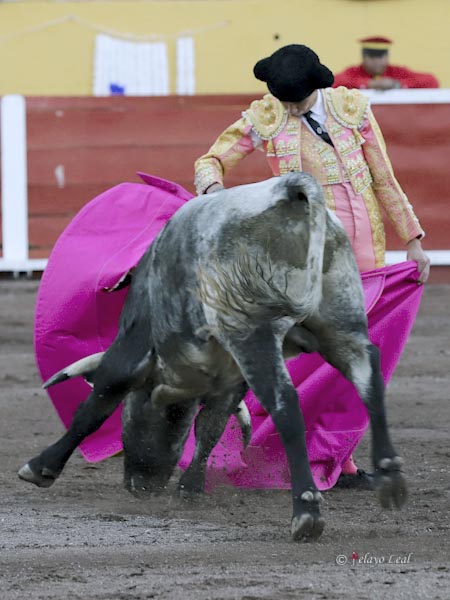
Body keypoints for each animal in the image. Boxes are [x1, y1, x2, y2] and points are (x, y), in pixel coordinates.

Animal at [17, 172, 406, 540]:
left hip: (253, 333)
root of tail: (292, 191)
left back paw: (307, 511)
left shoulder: (131, 347)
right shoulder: (230, 378)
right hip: (343, 322)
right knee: (369, 378)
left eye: (162, 412)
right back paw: (390, 478)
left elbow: (96, 406)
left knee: (286, 404)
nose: (141, 486)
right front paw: (190, 488)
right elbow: (211, 426)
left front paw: (40, 467)